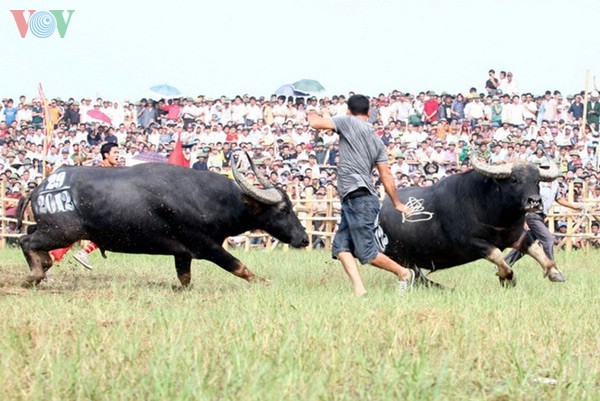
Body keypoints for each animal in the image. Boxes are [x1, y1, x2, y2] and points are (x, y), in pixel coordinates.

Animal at [18, 153, 310, 288]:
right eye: (283, 210)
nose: (304, 238)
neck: (210, 198)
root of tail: (40, 187)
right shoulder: (206, 246)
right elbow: (239, 266)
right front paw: (265, 282)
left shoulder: (183, 253)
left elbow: (185, 278)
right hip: (60, 231)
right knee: (25, 240)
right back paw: (34, 275)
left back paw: (42, 268)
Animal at [382, 155, 564, 286]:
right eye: (514, 179)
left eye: (537, 180)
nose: (535, 201)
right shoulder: (470, 243)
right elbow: (497, 255)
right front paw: (506, 277)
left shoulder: (516, 235)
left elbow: (535, 249)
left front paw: (555, 272)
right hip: (399, 256)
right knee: (415, 274)